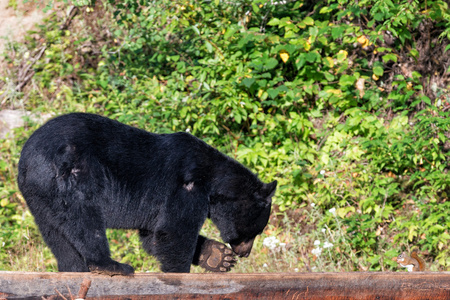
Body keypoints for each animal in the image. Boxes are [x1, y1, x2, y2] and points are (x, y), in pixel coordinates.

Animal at [17, 112, 276, 274]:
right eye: (256, 231)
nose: (244, 253)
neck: (214, 179)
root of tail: (27, 158)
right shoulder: (186, 186)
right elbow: (174, 231)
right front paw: (181, 270)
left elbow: (153, 233)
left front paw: (218, 256)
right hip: (73, 175)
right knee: (83, 219)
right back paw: (110, 265)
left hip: (40, 195)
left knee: (55, 233)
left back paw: (74, 268)